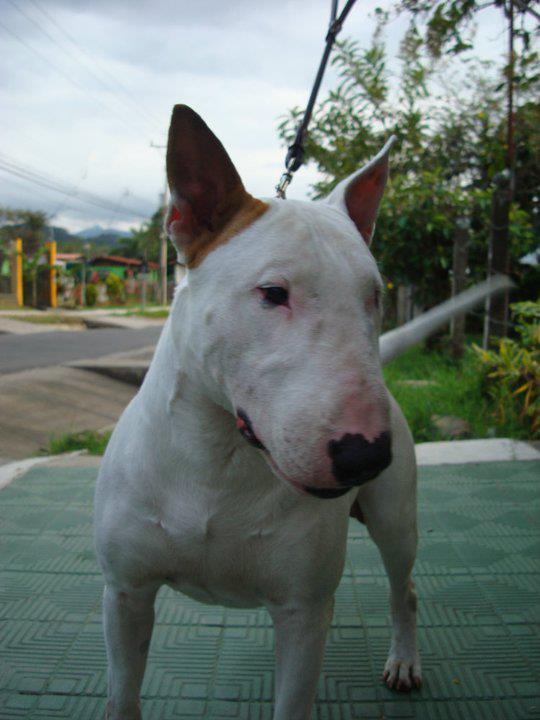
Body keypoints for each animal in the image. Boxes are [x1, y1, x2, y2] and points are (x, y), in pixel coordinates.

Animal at [95, 105, 420, 720]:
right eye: (272, 292)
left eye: (375, 296)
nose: (365, 455)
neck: (218, 457)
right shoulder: (126, 594)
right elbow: (122, 693)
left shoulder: (304, 611)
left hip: (395, 520)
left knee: (403, 588)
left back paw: (404, 661)